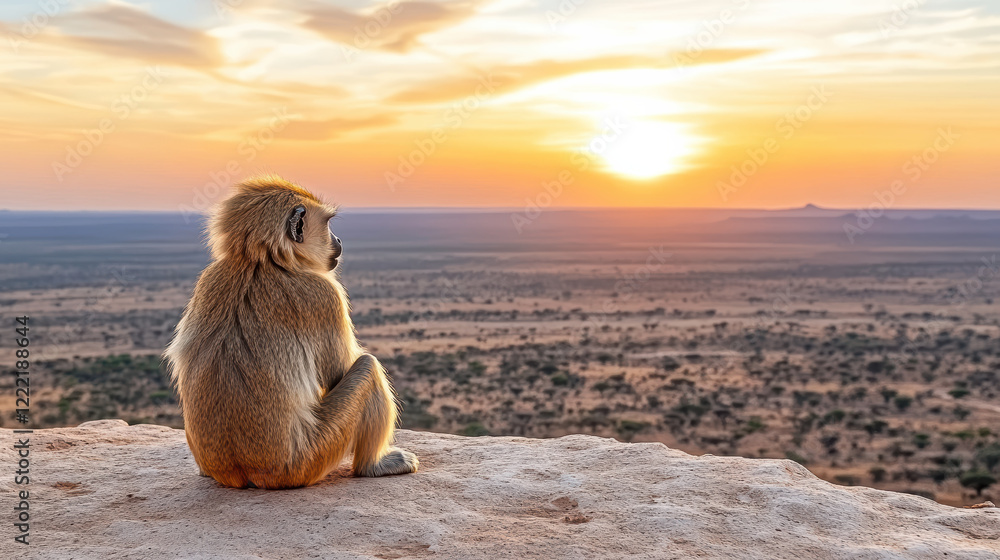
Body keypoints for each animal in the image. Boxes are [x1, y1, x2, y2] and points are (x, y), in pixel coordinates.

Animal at [164, 175, 418, 489]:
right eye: (328, 225)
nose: (338, 240)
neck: (259, 261)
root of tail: (245, 472)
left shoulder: (209, 277)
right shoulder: (325, 295)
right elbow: (337, 375)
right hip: (313, 456)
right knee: (367, 367)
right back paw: (372, 465)